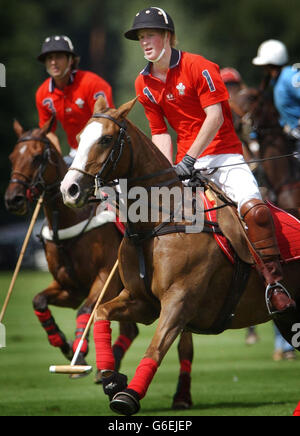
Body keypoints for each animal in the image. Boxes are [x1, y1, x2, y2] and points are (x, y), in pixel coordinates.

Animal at [60, 98, 300, 416]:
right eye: (79, 137)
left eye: (106, 139)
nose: (69, 189)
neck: (156, 223)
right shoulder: (141, 301)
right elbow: (100, 312)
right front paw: (111, 376)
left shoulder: (180, 300)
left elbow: (157, 347)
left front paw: (128, 395)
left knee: (256, 211)